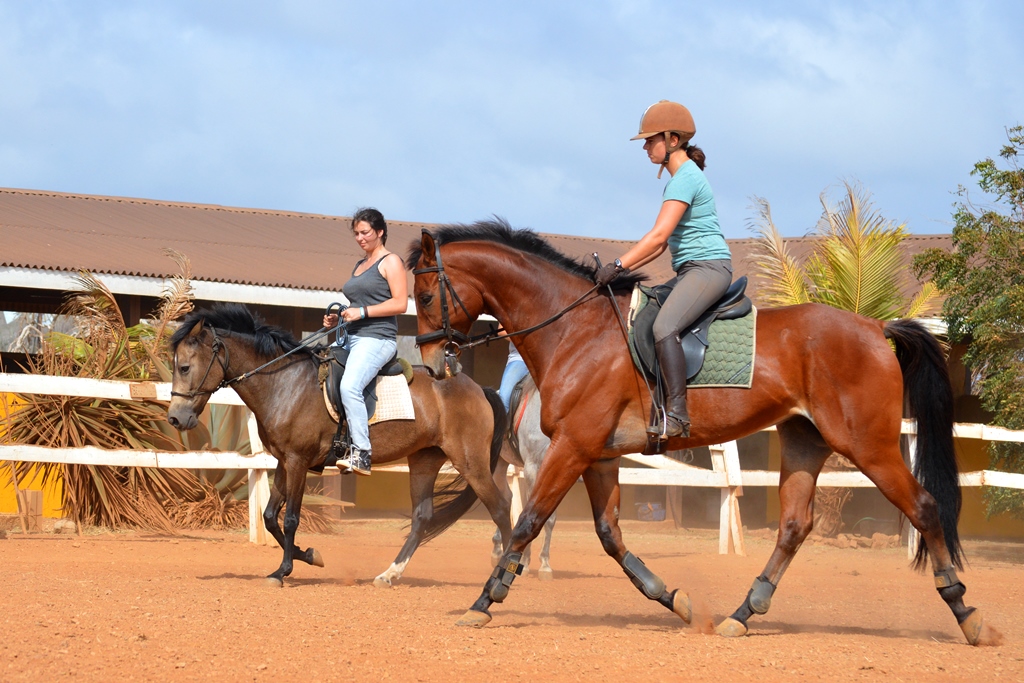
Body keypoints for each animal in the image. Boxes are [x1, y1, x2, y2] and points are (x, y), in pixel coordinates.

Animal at [166, 303, 512, 587]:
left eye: (184, 367)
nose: (175, 419)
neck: (284, 382)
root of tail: (479, 388)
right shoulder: (283, 461)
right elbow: (269, 516)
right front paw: (308, 556)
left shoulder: (298, 461)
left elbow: (290, 518)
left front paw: (284, 570)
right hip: (424, 462)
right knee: (422, 517)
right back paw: (389, 575)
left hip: (471, 463)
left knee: (500, 508)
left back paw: (506, 571)